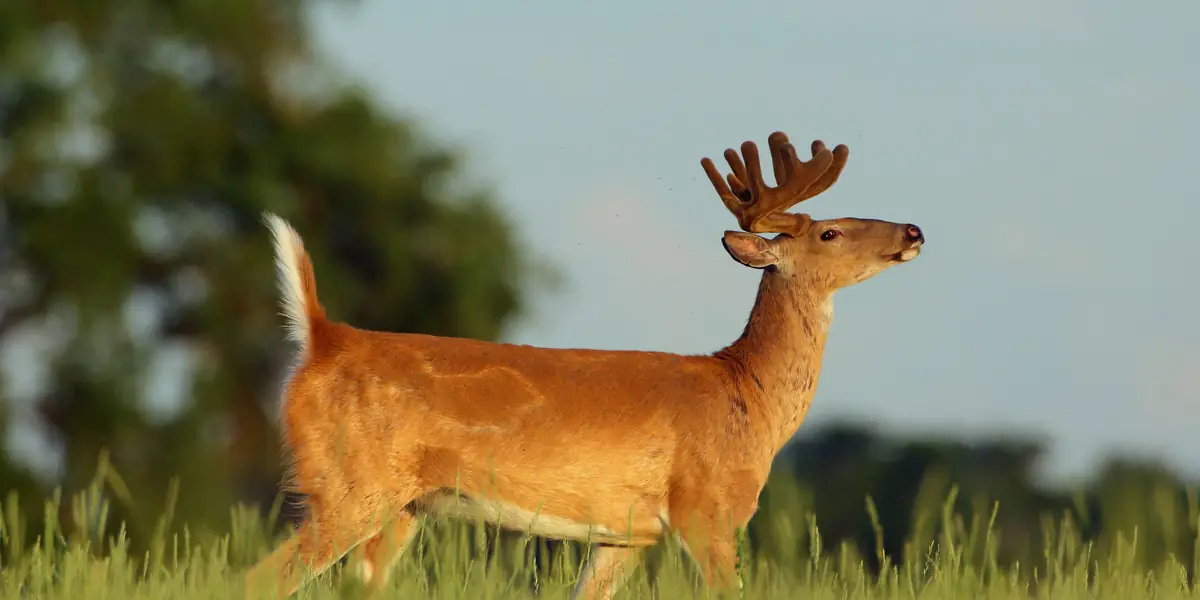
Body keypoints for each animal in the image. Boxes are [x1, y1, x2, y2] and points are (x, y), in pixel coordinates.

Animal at [244, 131, 925, 599]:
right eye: (830, 233)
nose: (913, 230)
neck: (747, 393)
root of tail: (323, 337)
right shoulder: (706, 507)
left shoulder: (625, 533)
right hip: (347, 486)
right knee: (260, 579)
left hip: (401, 506)